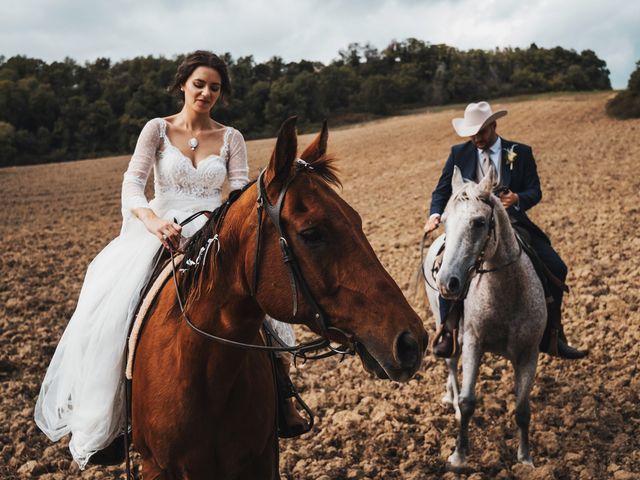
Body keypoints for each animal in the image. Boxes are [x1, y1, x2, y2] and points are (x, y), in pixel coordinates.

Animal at [132, 117, 428, 480]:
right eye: (311, 233)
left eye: (357, 221)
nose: (412, 341)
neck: (204, 372)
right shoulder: (157, 467)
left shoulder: (260, 459)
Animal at [424, 166, 544, 468]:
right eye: (444, 221)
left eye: (479, 222)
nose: (447, 282)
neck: (506, 293)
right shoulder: (472, 343)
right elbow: (468, 401)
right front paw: (458, 456)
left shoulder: (529, 353)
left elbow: (522, 409)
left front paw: (525, 459)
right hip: (446, 328)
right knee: (451, 364)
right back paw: (452, 401)